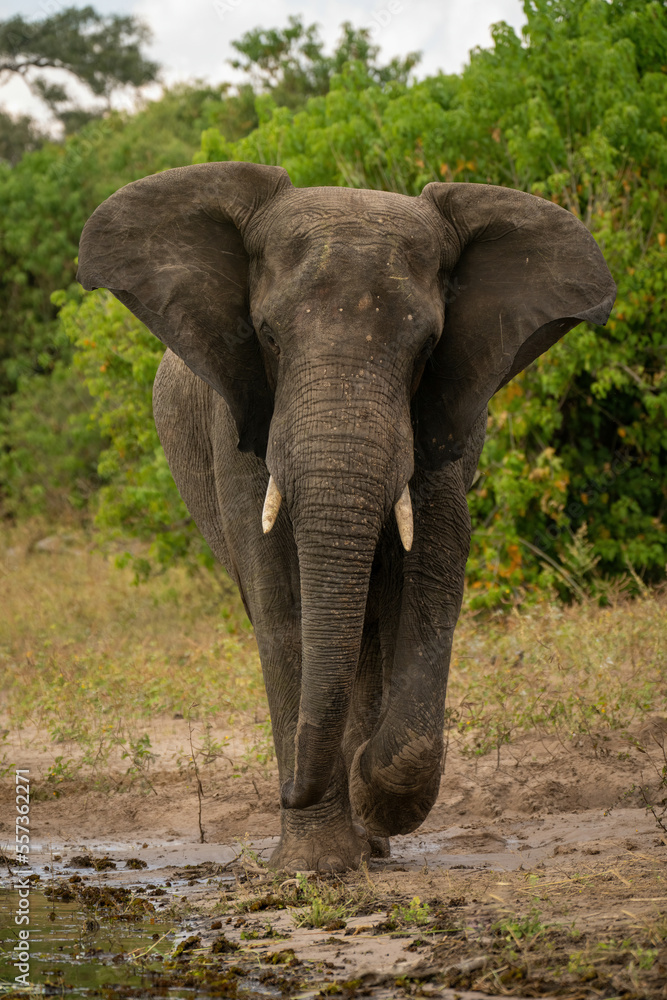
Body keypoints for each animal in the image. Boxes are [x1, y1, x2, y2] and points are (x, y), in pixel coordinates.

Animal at [77, 162, 615, 871]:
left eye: (429, 346)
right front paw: (318, 866)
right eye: (266, 336)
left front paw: (368, 794)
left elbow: (434, 574)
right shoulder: (241, 420)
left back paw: (374, 839)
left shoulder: (440, 414)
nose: (287, 792)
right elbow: (282, 603)